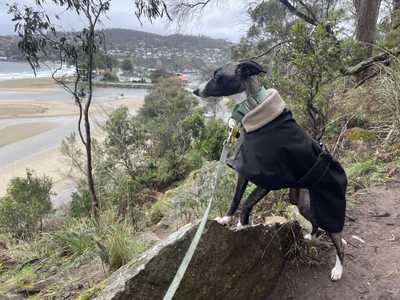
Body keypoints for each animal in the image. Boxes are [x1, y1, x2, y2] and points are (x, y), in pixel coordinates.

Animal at [194, 60, 346, 282]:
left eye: (217, 76)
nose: (195, 91)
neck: (254, 108)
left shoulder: (267, 180)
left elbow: (247, 202)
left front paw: (242, 226)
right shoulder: (244, 171)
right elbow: (236, 199)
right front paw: (226, 219)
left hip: (328, 209)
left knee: (339, 242)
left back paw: (338, 269)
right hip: (303, 203)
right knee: (317, 224)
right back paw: (310, 236)